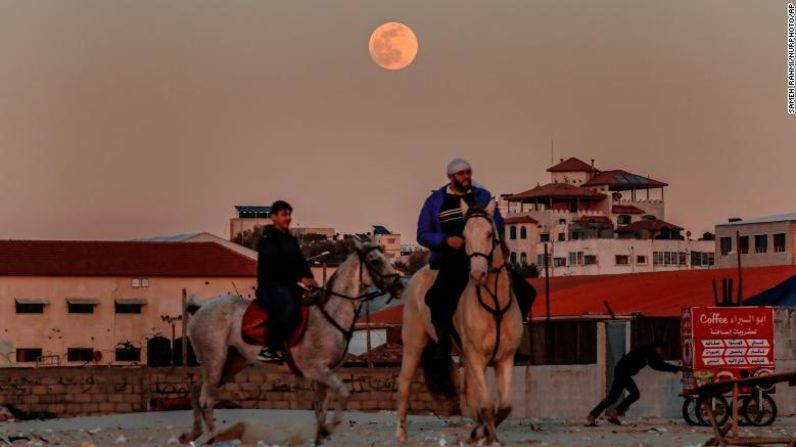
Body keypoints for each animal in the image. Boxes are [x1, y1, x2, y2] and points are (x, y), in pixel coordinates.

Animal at [183, 240, 402, 446]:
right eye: (374, 260)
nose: (399, 286)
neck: (330, 316)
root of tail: (199, 308)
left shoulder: (326, 374)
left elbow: (321, 411)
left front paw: (320, 438)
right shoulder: (317, 370)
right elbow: (344, 394)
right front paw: (328, 430)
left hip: (230, 364)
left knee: (196, 390)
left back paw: (194, 433)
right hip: (215, 361)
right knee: (206, 399)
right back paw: (212, 437)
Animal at [396, 201, 524, 446]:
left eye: (489, 233)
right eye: (464, 236)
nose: (477, 274)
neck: (494, 303)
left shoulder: (504, 359)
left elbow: (504, 406)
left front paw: (482, 434)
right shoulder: (476, 357)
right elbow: (487, 404)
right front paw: (484, 435)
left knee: (469, 393)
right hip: (414, 344)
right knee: (405, 385)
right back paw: (401, 435)